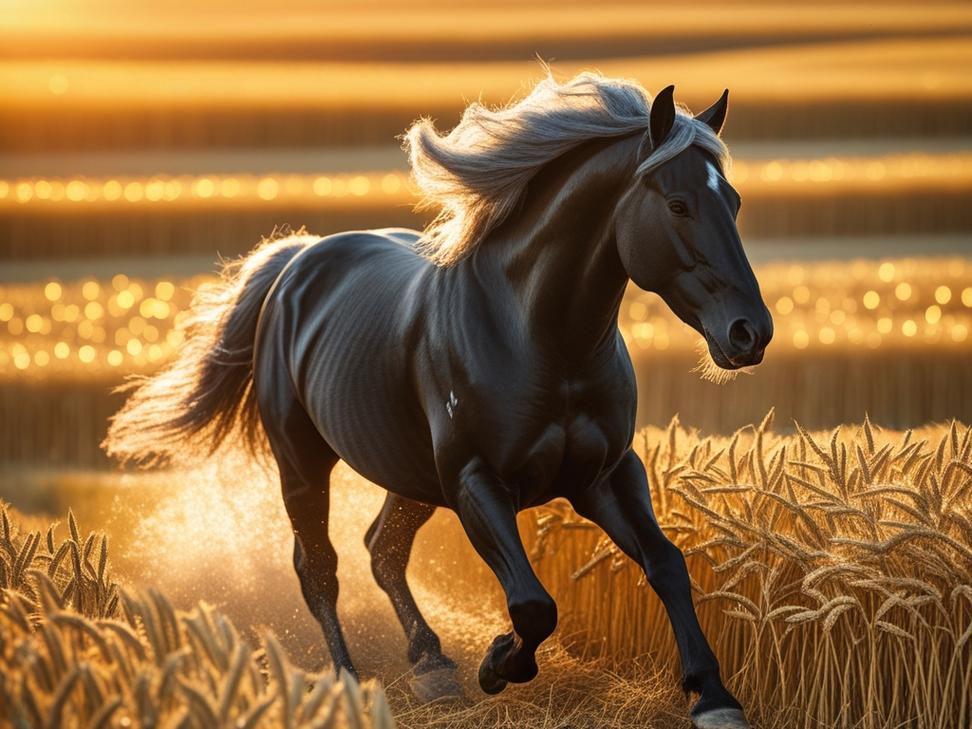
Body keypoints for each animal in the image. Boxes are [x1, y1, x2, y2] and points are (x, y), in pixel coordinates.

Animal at [105, 72, 773, 729]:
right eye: (679, 204)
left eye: (735, 202)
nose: (751, 333)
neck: (540, 339)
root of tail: (296, 260)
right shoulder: (477, 482)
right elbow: (533, 604)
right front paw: (497, 663)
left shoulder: (606, 474)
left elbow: (666, 564)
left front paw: (714, 697)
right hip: (302, 462)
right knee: (319, 568)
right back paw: (350, 683)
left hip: (411, 476)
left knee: (382, 550)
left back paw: (431, 663)